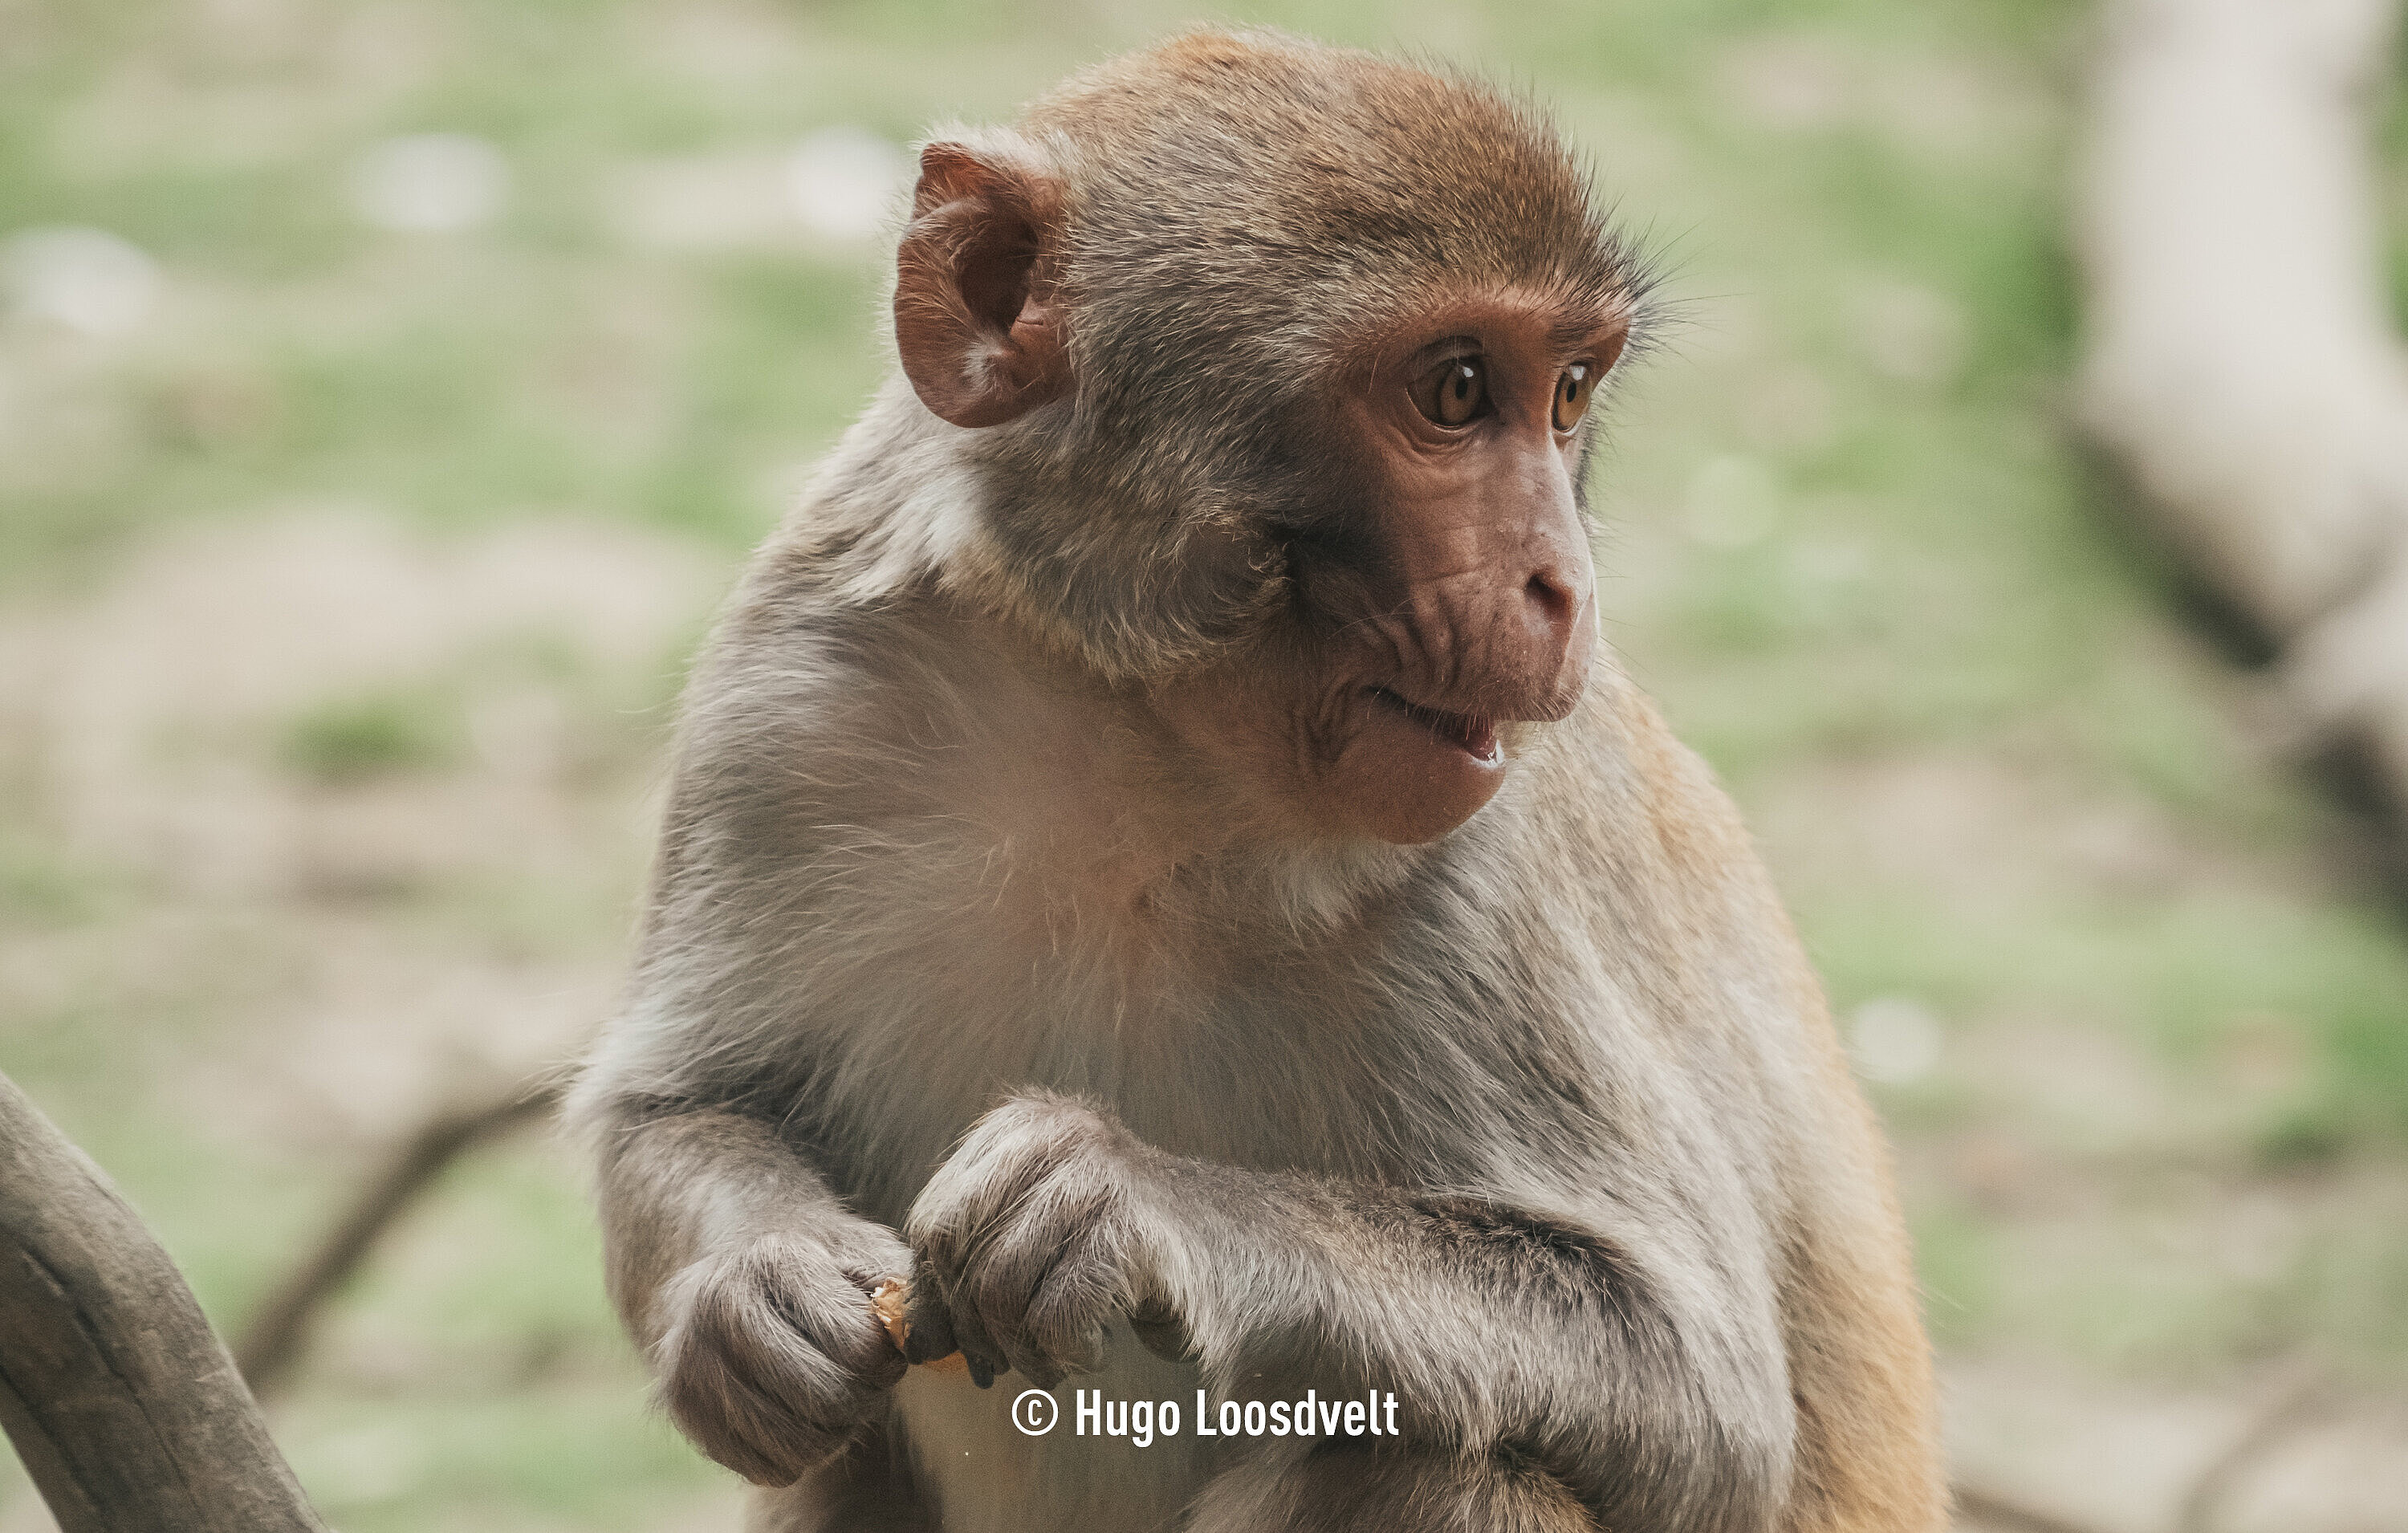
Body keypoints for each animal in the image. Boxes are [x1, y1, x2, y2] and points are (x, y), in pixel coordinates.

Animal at [566, 27, 1944, 1533]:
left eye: (1567, 393)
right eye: (1457, 391)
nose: (1562, 583)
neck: (1144, 741)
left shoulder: (1500, 865)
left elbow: (1700, 1387)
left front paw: (1132, 1207)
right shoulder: (785, 700)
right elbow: (674, 1106)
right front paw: (751, 1304)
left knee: (1429, 1463)